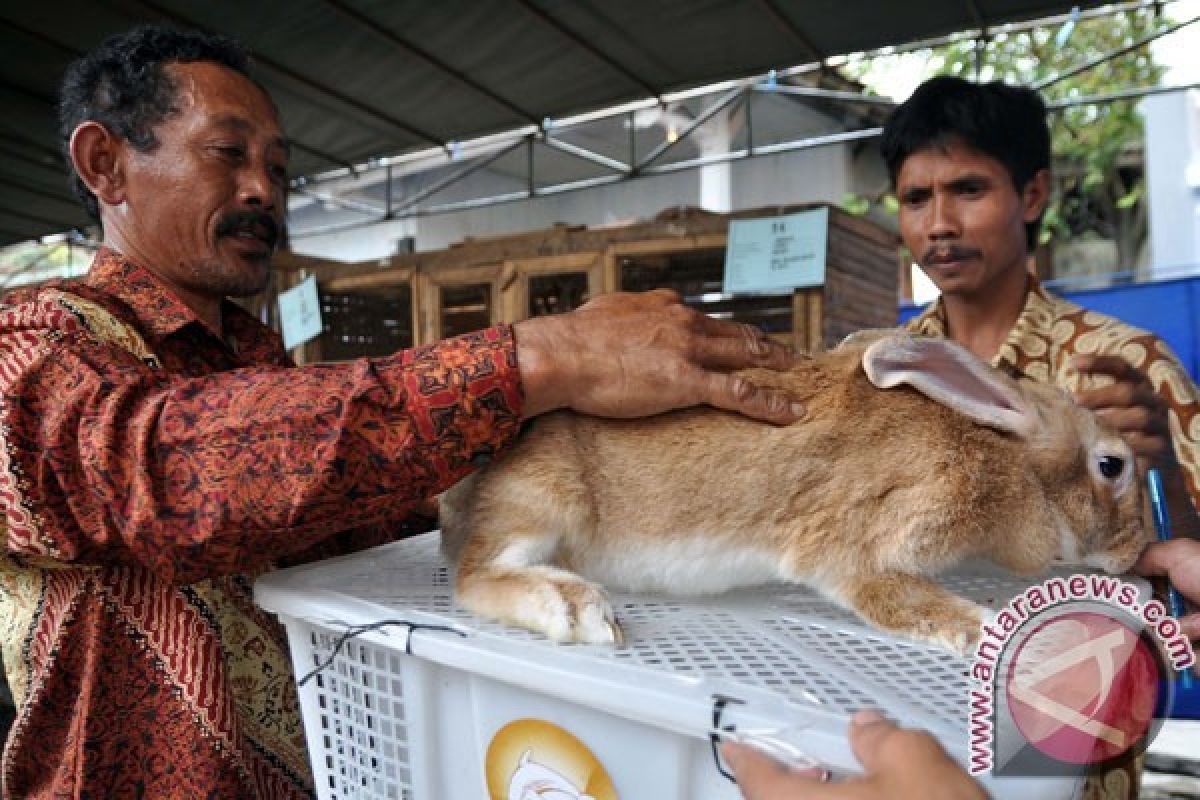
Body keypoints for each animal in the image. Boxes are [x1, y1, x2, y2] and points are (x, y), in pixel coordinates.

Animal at [439, 328, 1142, 652]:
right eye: (1114, 466)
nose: (1134, 554)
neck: (1002, 454)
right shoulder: (869, 549)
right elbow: (909, 601)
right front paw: (1000, 630)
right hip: (542, 498)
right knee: (475, 578)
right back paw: (576, 610)